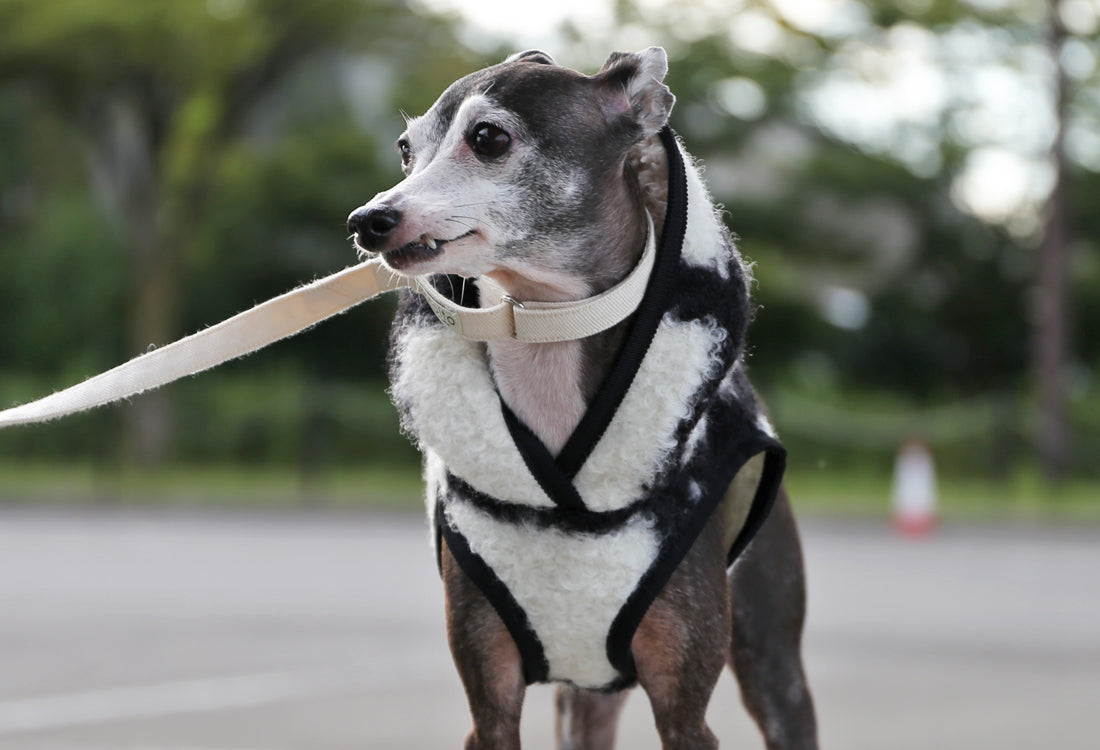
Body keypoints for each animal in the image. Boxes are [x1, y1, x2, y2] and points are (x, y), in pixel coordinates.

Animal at [345, 48, 818, 747]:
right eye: (407, 149)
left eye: (488, 137)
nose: (369, 221)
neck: (544, 330)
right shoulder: (490, 702)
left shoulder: (684, 712)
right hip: (586, 696)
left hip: (773, 660)